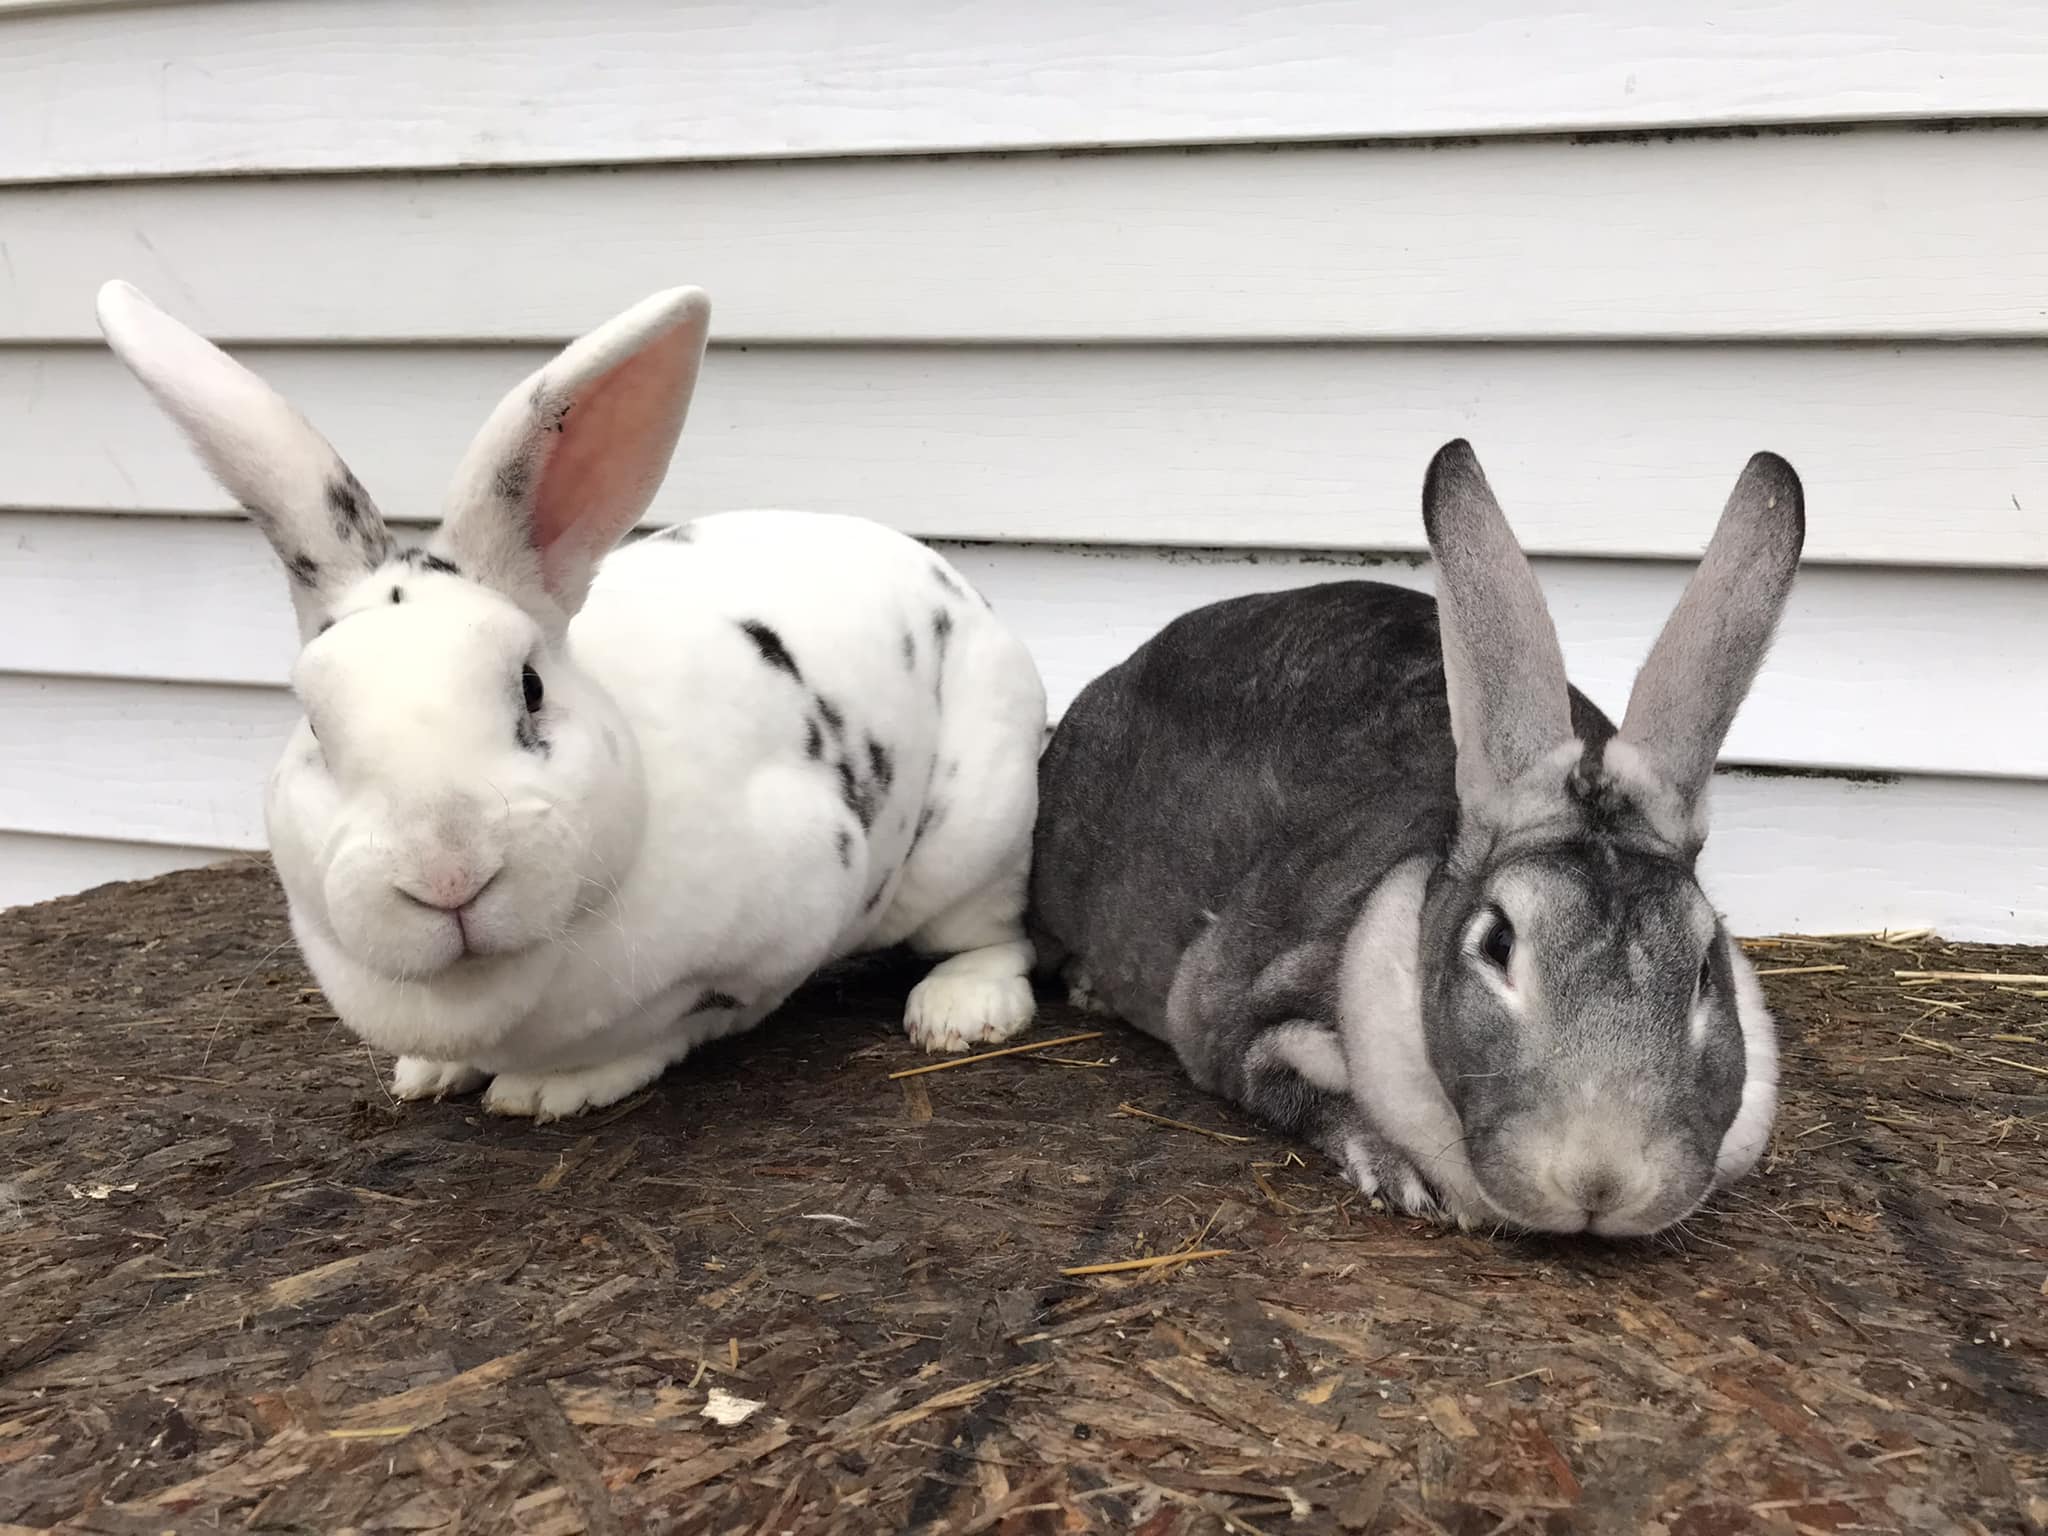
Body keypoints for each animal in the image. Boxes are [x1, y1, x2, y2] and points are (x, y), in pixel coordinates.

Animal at [96, 281, 1047, 1120]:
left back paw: (959, 1011)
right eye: (315, 725)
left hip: (976, 835)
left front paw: (553, 1090)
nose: (447, 874)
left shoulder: (790, 911)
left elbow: (683, 1022)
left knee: (993, 931)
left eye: (530, 686)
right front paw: (429, 1074)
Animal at [1031, 440, 1802, 1236]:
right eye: (1498, 942)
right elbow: (1296, 1088)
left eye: (1705, 967)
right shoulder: (1243, 1020)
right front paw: (1403, 1176)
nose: (1601, 1182)